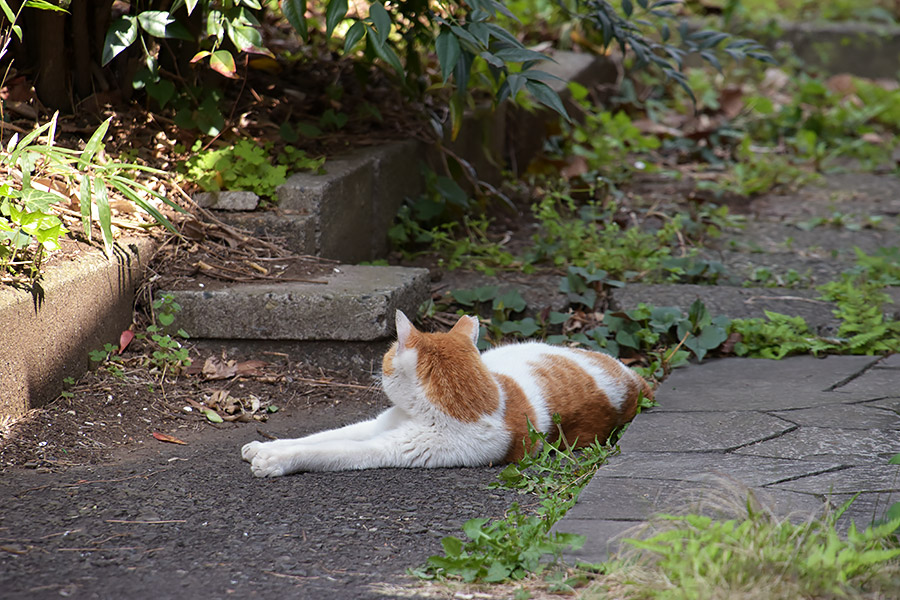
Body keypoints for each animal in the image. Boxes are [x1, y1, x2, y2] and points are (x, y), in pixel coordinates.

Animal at [239, 312, 652, 476]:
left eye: (387, 355)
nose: (377, 368)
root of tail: (634, 379)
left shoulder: (390, 448)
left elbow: (330, 449)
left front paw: (276, 461)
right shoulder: (378, 424)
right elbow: (321, 435)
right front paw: (266, 446)